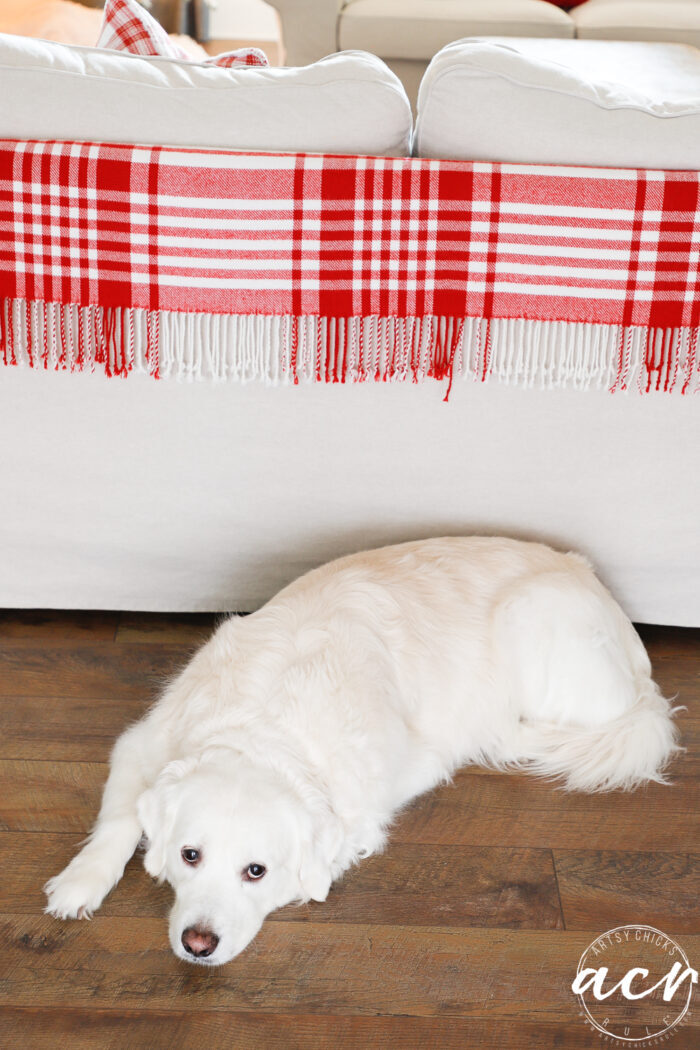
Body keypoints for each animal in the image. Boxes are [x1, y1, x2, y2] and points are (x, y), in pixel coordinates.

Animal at [43, 541, 680, 965]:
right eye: (189, 855)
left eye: (257, 871)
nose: (197, 944)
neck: (266, 721)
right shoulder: (145, 741)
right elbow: (119, 821)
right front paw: (80, 882)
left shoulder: (363, 812)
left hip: (530, 622)